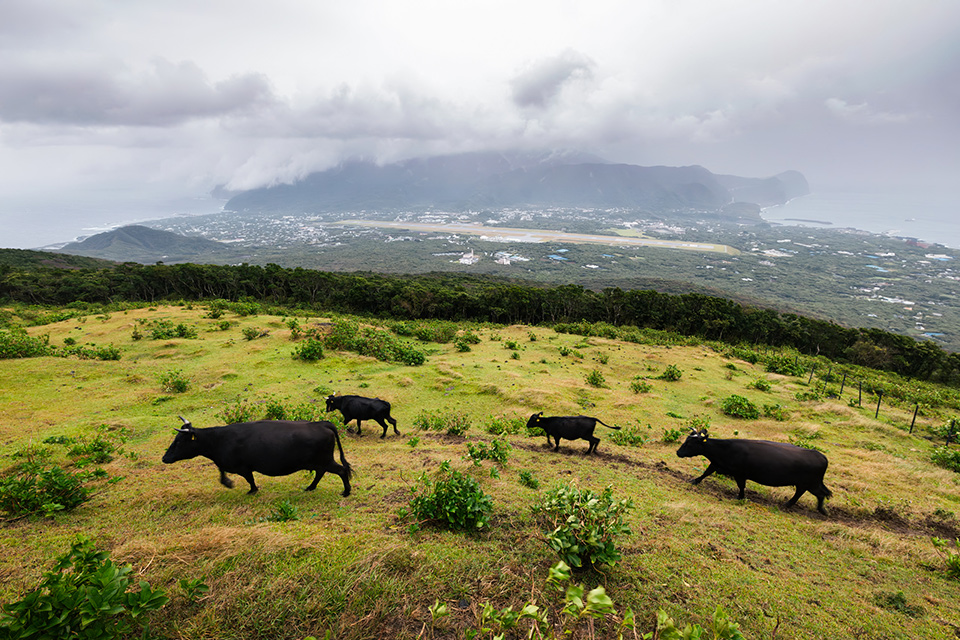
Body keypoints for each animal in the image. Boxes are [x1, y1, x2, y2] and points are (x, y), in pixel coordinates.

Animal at [161, 418, 352, 498]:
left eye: (179, 441)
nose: (164, 458)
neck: (218, 439)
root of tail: (322, 423)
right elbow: (222, 471)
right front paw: (228, 482)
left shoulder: (243, 466)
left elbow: (249, 479)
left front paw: (250, 490)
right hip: (320, 462)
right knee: (321, 473)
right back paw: (310, 487)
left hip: (326, 460)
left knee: (342, 470)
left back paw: (346, 492)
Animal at [676, 430, 832, 516]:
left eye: (689, 444)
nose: (678, 452)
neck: (725, 449)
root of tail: (822, 457)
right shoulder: (716, 464)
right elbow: (706, 473)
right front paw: (695, 480)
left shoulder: (739, 474)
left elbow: (741, 486)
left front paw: (740, 497)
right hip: (808, 484)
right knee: (814, 493)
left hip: (810, 484)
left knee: (818, 494)